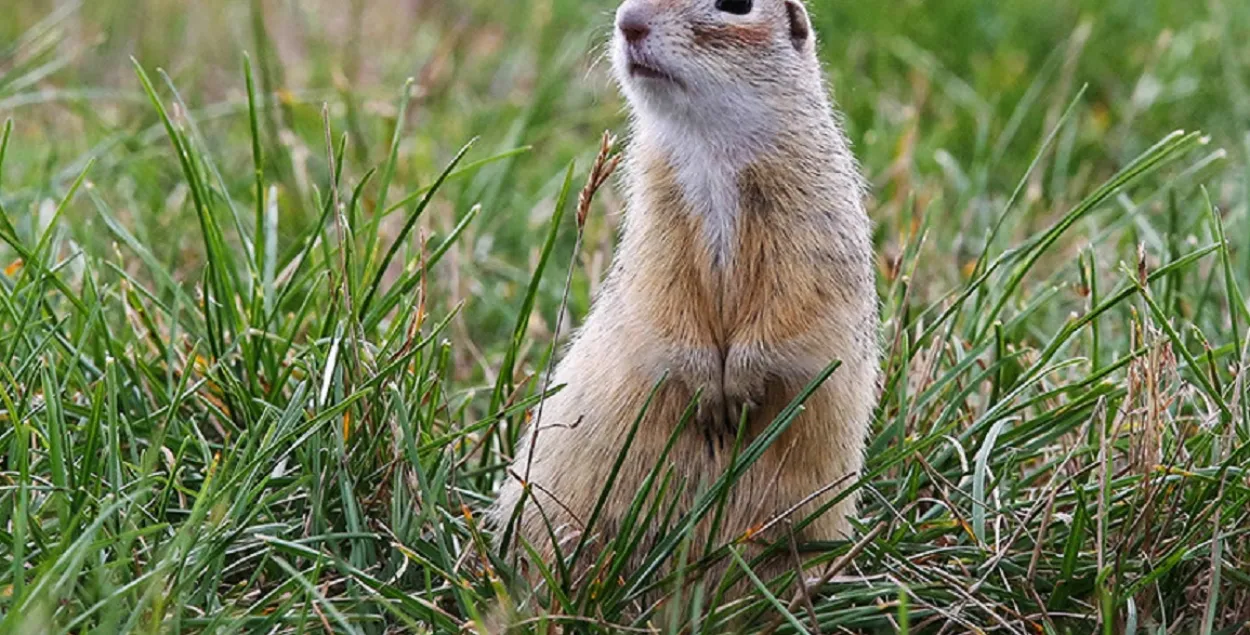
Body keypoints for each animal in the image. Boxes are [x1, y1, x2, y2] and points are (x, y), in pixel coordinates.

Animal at [487, 0, 880, 590]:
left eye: (738, 6)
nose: (628, 22)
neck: (709, 150)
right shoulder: (656, 227)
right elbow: (663, 298)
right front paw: (707, 390)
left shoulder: (810, 229)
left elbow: (791, 306)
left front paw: (739, 384)